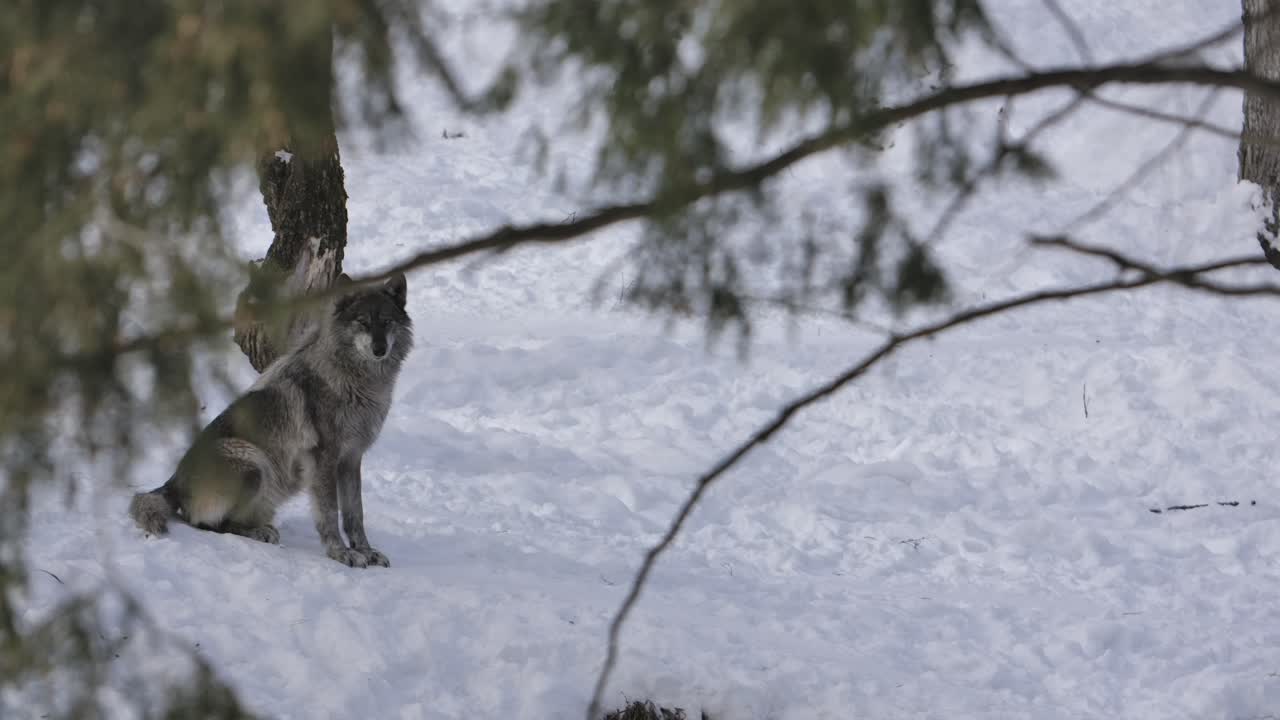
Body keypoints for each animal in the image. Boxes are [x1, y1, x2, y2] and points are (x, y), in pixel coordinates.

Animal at [128, 273, 413, 568]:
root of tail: (173, 481)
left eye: (387, 321)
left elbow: (355, 514)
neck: (356, 383)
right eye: (362, 322)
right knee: (208, 524)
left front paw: (366, 551)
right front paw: (341, 553)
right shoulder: (324, 459)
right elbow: (329, 513)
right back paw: (259, 533)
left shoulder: (351, 459)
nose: (379, 349)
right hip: (252, 463)